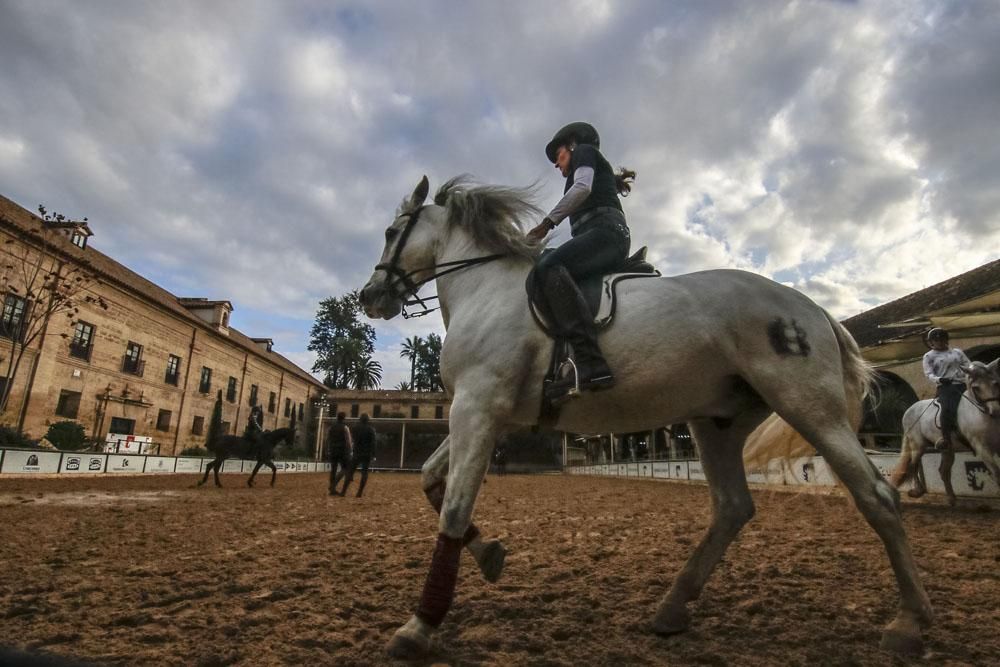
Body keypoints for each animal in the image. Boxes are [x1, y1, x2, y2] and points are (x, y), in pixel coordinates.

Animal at [362, 176, 936, 656]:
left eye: (390, 232)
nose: (370, 297)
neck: (486, 289)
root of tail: (814, 309)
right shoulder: (491, 414)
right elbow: (431, 479)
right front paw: (489, 555)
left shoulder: (478, 406)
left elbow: (454, 508)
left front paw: (420, 626)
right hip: (717, 422)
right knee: (733, 507)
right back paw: (673, 607)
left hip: (808, 406)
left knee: (877, 497)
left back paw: (911, 623)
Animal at [892, 360, 1000, 506]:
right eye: (976, 388)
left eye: (995, 383)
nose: (995, 411)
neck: (981, 414)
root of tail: (909, 410)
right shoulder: (982, 448)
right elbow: (997, 474)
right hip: (917, 445)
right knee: (914, 465)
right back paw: (918, 491)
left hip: (947, 449)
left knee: (943, 471)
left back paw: (951, 498)